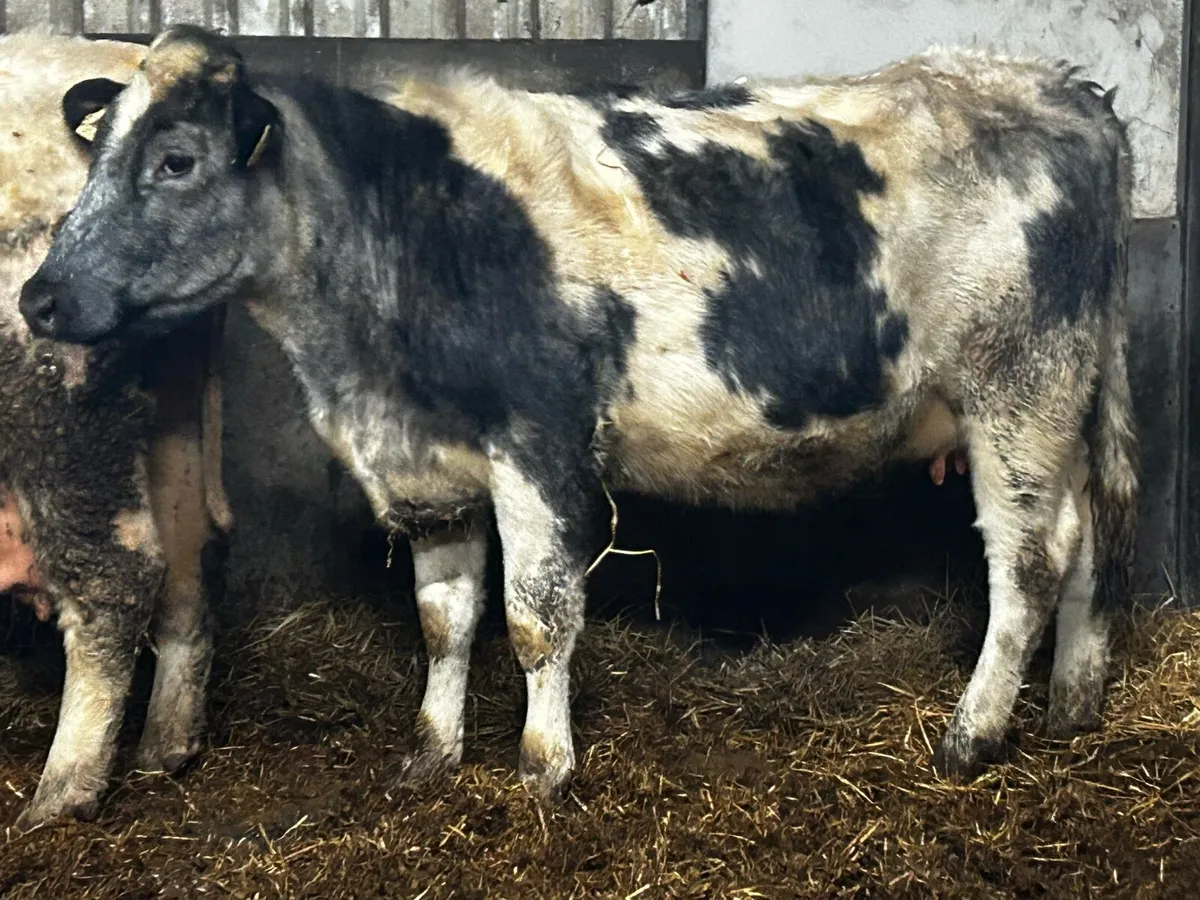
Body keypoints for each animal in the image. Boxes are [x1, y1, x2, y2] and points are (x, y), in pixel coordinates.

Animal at [1, 31, 231, 830]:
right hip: (172, 419)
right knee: (189, 560)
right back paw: (166, 748)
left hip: (54, 408)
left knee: (116, 577)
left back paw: (60, 795)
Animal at [20, 25, 1137, 801]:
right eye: (97, 154)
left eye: (176, 160)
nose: (40, 298)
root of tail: (1061, 90)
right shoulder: (431, 467)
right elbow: (444, 620)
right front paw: (429, 756)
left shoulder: (539, 445)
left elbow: (534, 619)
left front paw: (542, 767)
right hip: (1067, 397)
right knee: (1089, 534)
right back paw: (1074, 706)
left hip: (1018, 386)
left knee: (1029, 561)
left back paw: (974, 733)